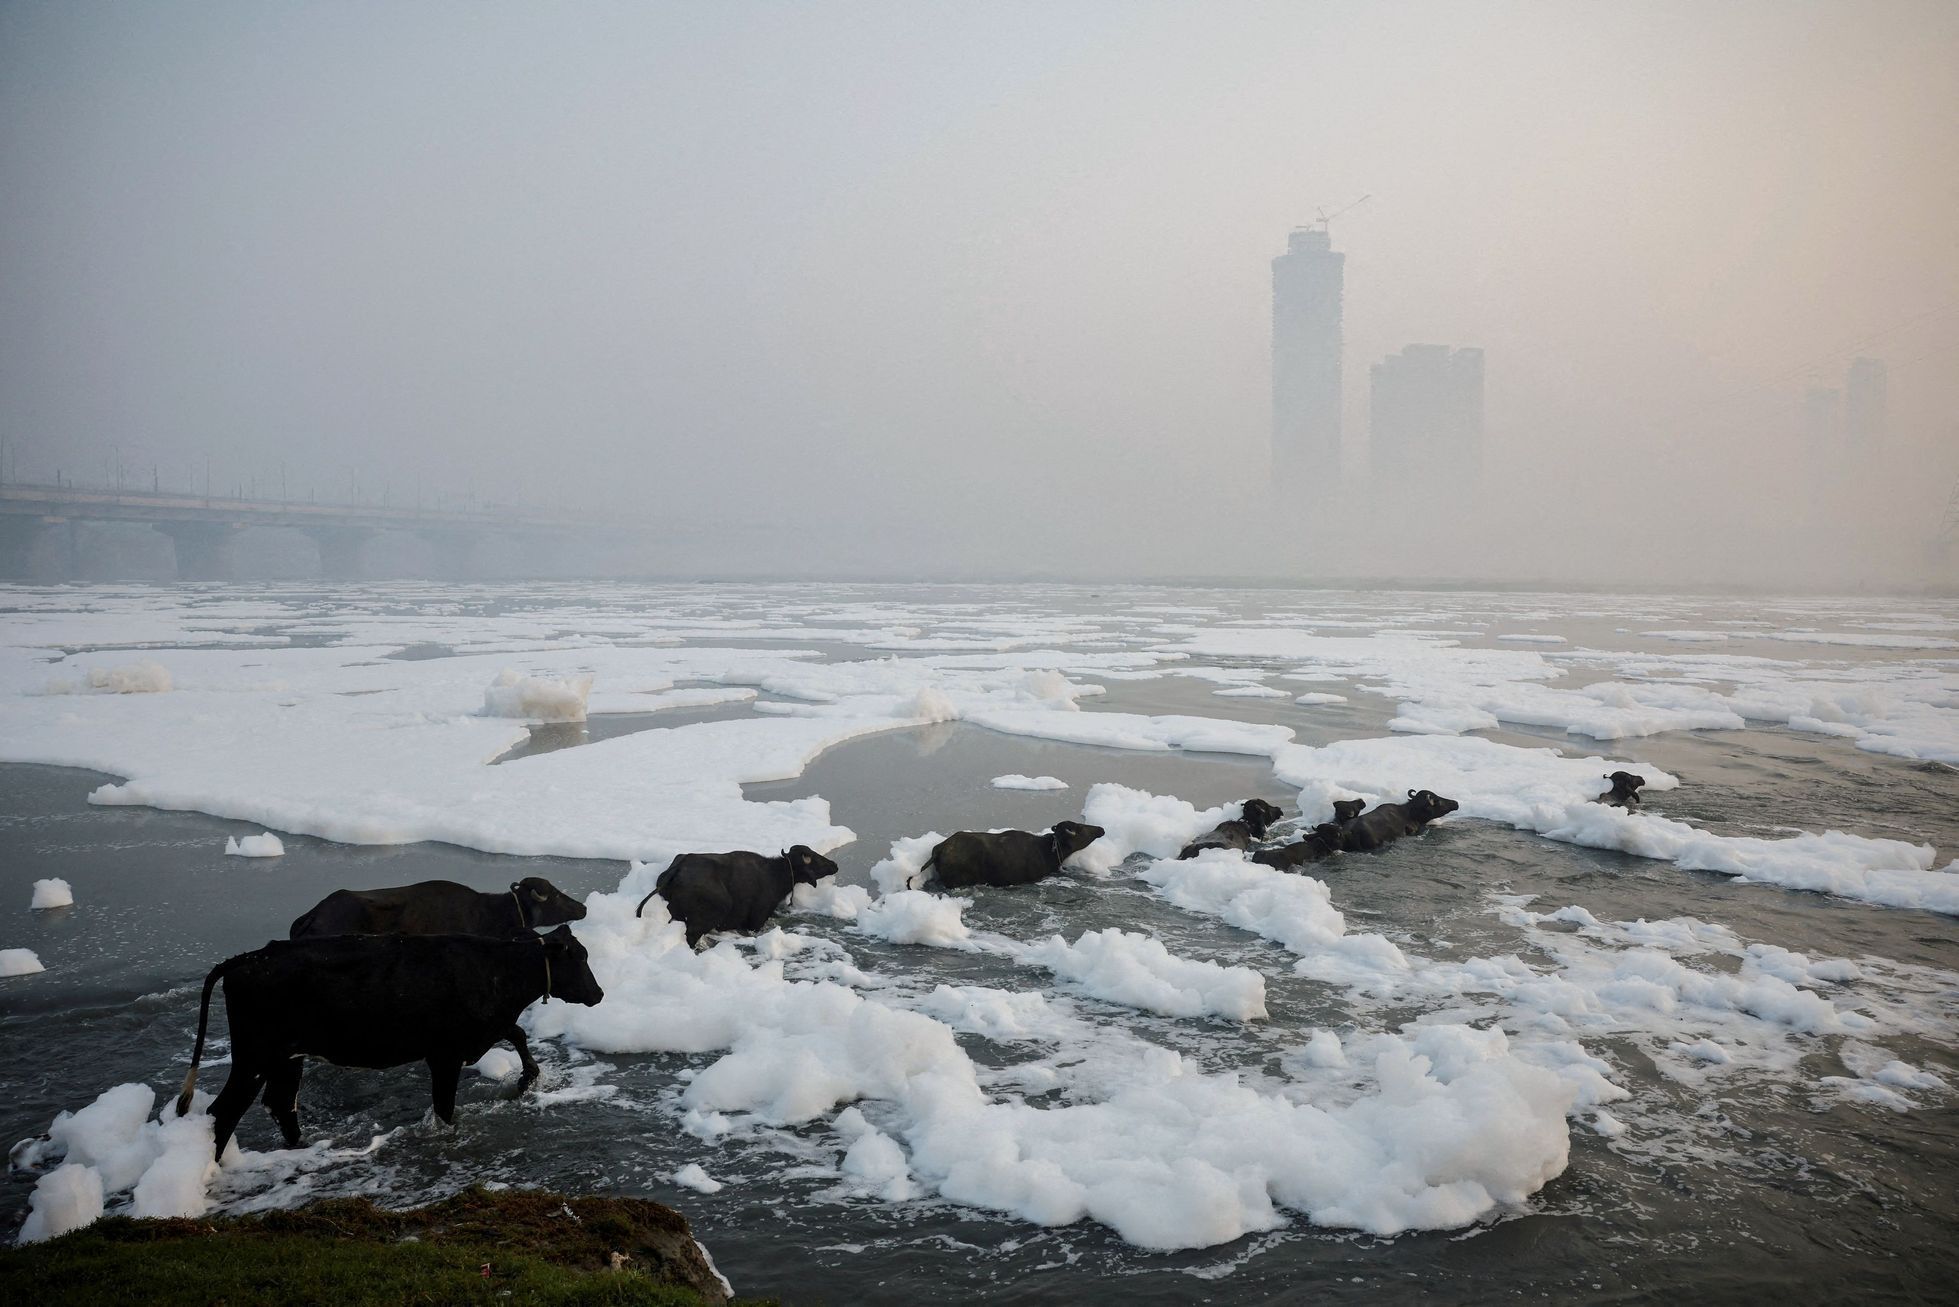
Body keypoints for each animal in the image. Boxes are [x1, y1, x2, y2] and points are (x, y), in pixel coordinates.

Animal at [176, 924, 603, 1160]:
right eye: (579, 957)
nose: (598, 994)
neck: (498, 970)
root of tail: (248, 958)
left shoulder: (483, 1031)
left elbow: (517, 1033)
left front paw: (527, 1078)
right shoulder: (445, 1054)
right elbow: (445, 1109)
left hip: (286, 1057)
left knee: (281, 1104)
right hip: (254, 1057)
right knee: (225, 1111)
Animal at [634, 850, 834, 952]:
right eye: (815, 859)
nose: (834, 865)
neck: (773, 873)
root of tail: (677, 869)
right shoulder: (757, 920)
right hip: (713, 912)